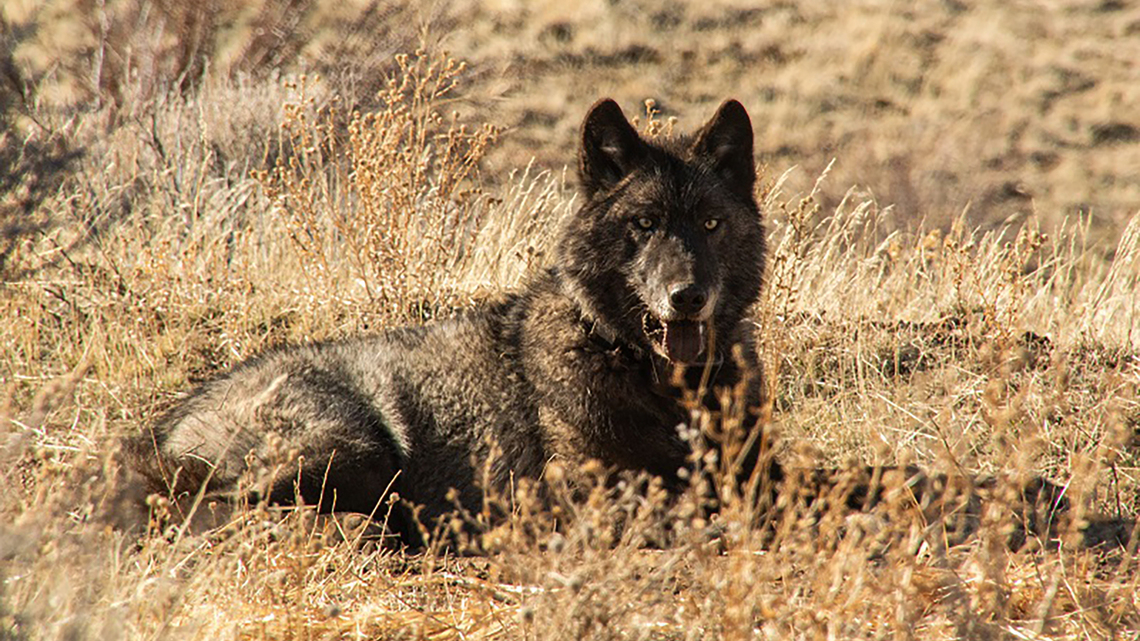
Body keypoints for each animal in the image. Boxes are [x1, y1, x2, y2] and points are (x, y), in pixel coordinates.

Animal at [127, 98, 776, 545]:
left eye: (712, 224)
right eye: (643, 224)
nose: (687, 296)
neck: (660, 384)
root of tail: (167, 426)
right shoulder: (579, 495)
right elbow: (682, 511)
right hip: (353, 448)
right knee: (225, 509)